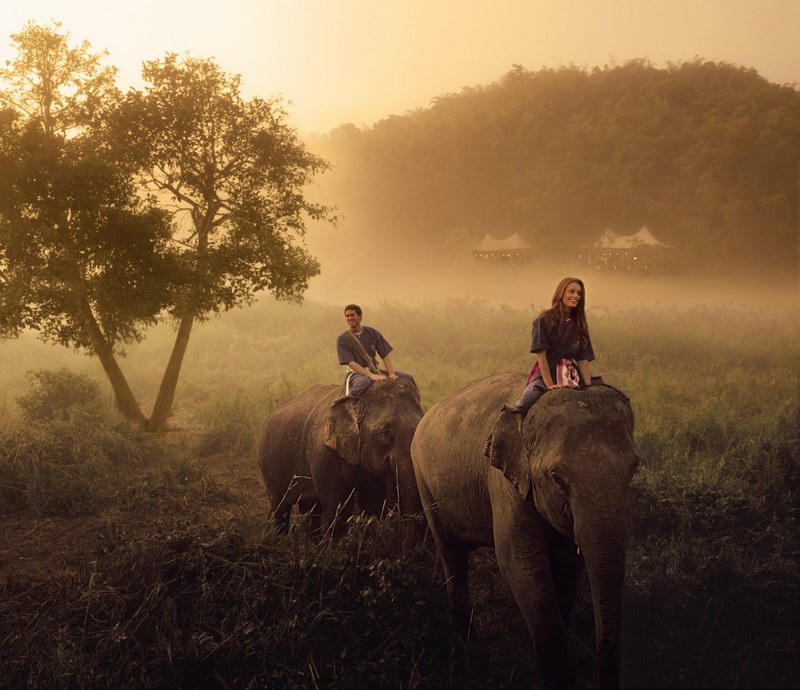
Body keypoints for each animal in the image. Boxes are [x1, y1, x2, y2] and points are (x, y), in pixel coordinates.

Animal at [260, 374, 428, 544]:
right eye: (386, 433)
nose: (406, 543)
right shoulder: (323, 454)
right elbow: (338, 507)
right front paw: (335, 547)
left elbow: (374, 503)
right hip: (267, 468)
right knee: (281, 507)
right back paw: (282, 541)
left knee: (310, 509)